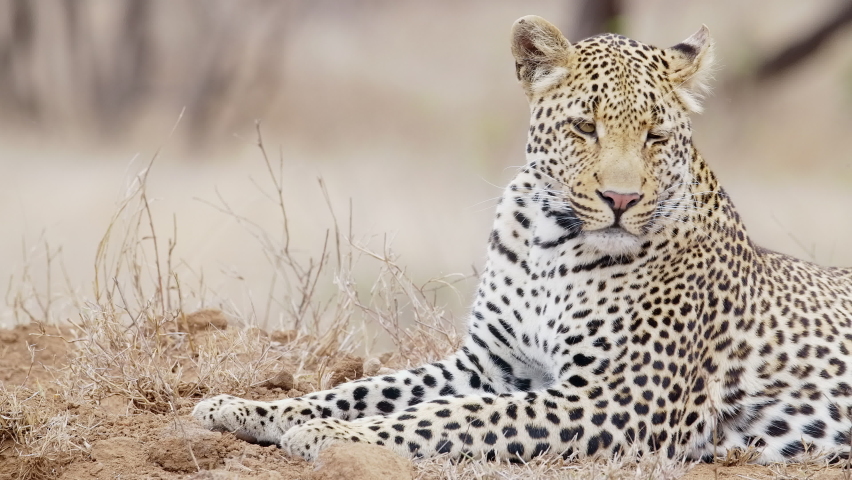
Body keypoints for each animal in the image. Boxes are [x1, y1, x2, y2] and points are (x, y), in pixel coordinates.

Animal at [193, 15, 852, 464]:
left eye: (655, 137)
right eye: (584, 127)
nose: (620, 200)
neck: (550, 244)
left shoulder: (614, 397)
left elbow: (448, 417)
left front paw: (335, 436)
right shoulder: (489, 363)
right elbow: (363, 389)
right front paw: (246, 409)